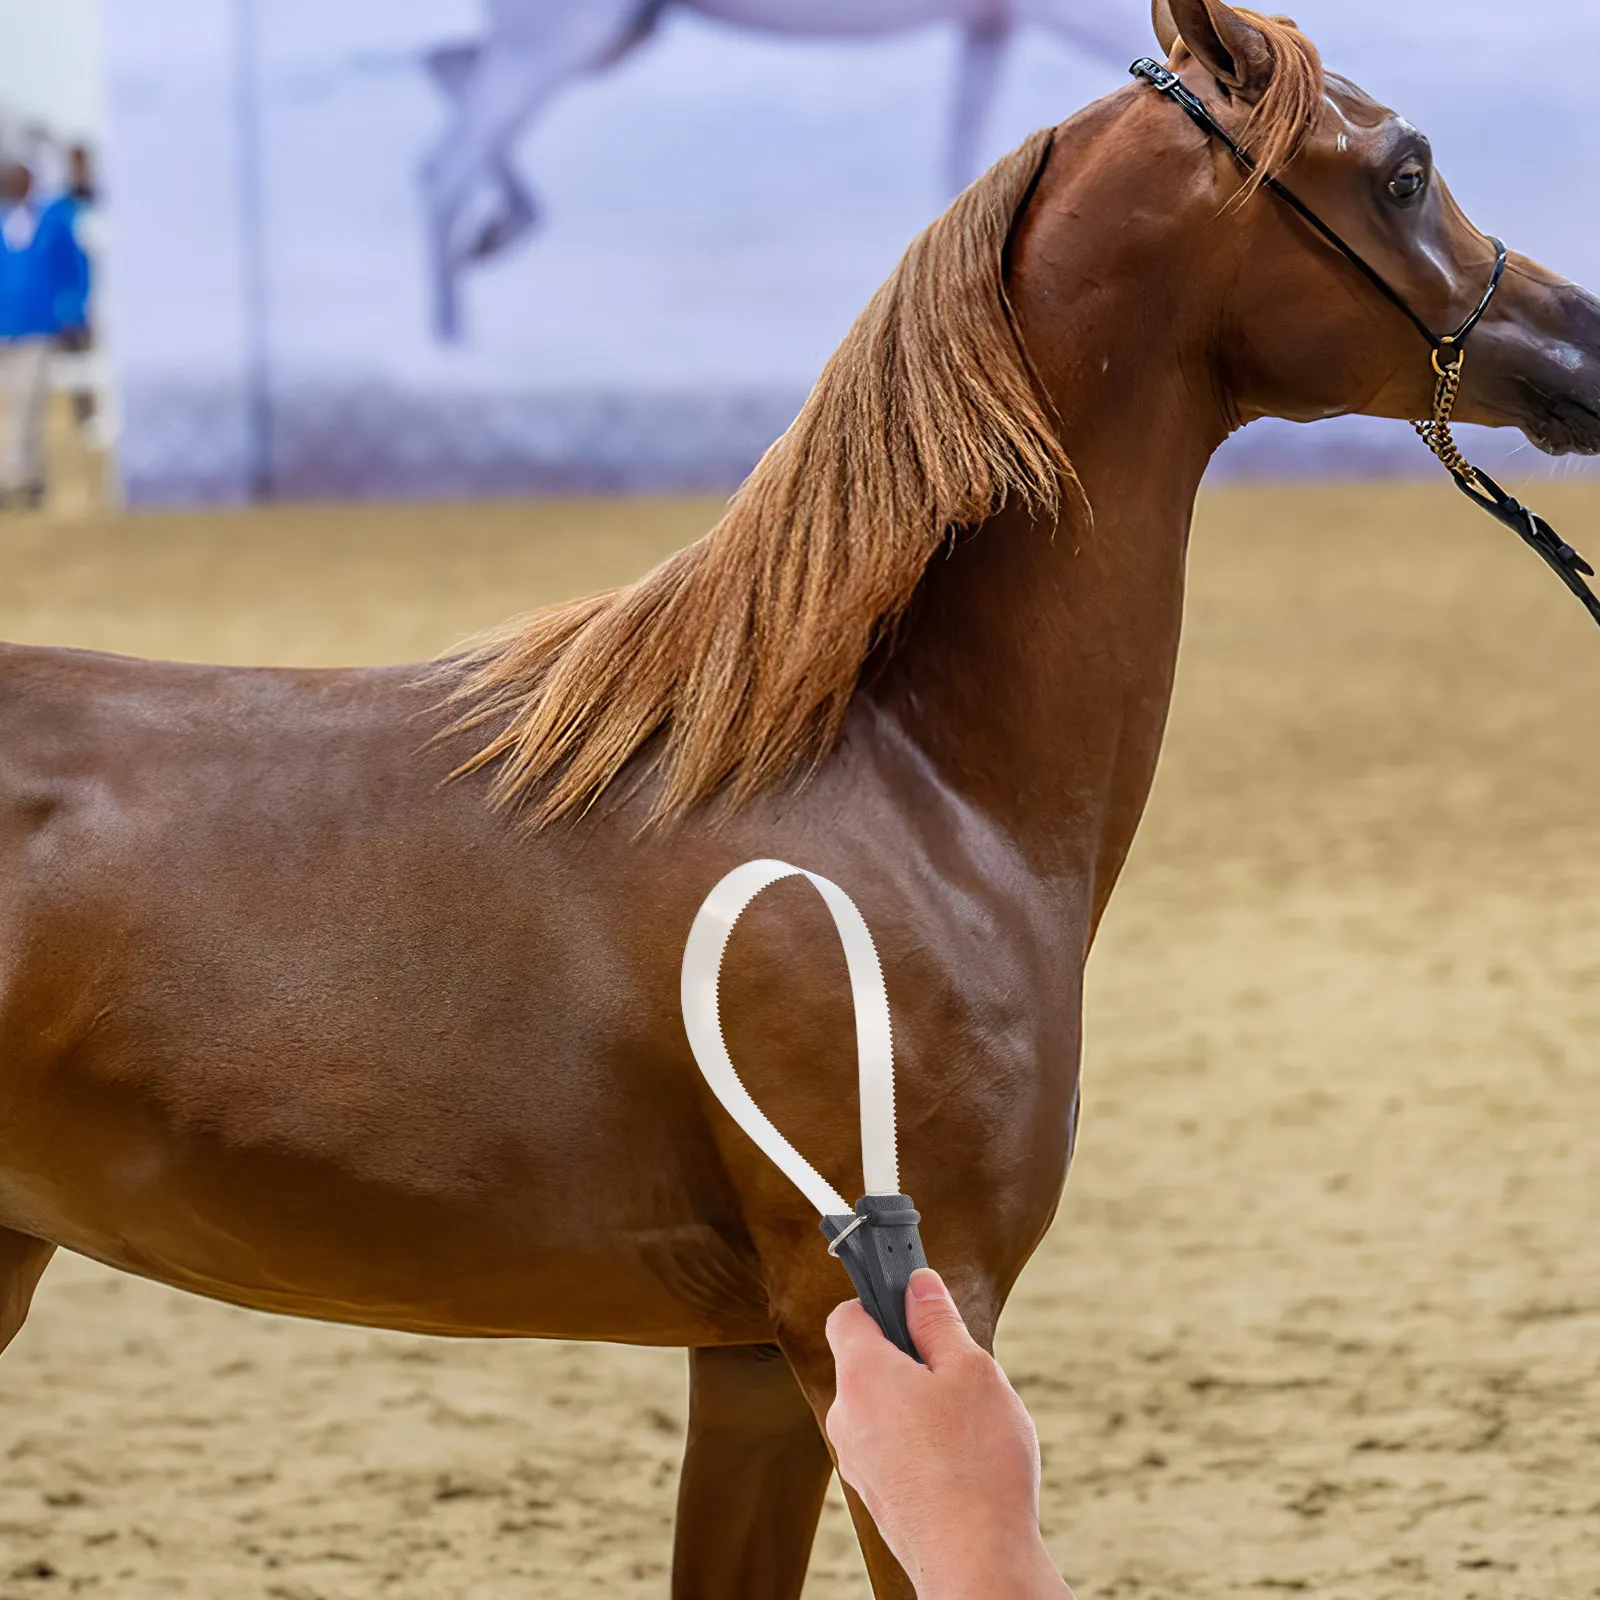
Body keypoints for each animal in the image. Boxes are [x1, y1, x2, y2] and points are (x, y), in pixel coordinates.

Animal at [420, 0, 1151, 340]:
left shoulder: (990, 25)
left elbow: (963, 163)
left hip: (613, 33)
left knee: (448, 73)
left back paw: (488, 246)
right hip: (567, 34)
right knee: (444, 163)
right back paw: (453, 343)